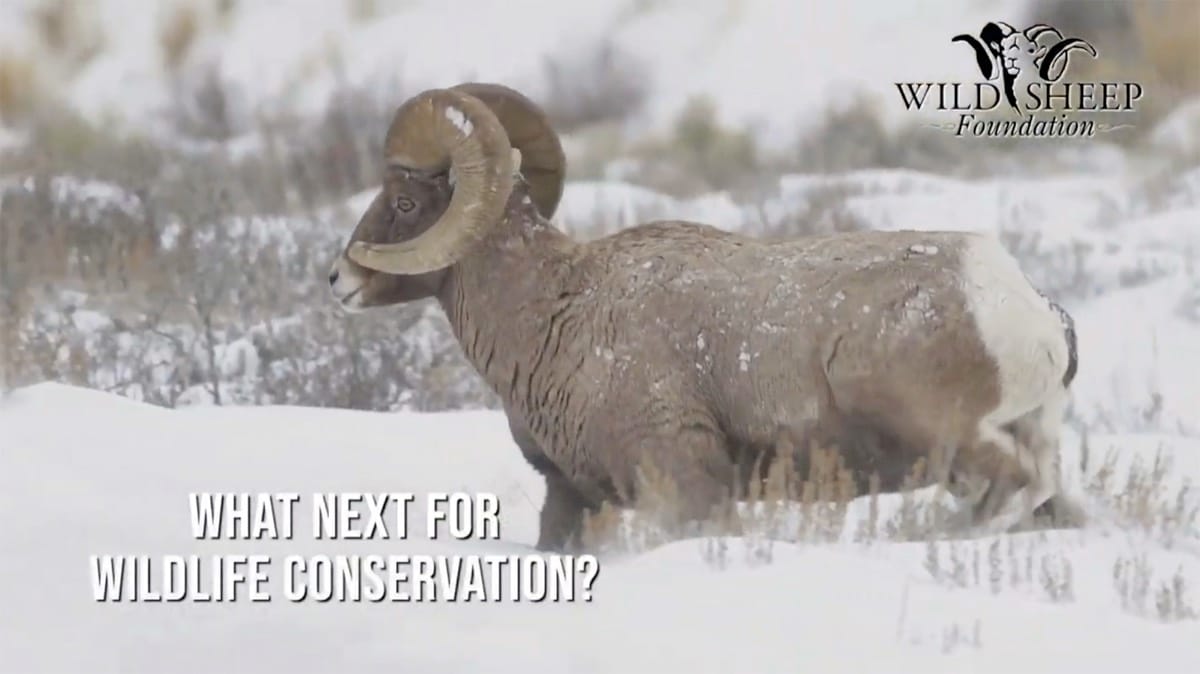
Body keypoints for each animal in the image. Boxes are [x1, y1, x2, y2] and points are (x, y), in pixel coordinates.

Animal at [328, 82, 1082, 551]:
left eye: (403, 203)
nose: (339, 278)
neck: (553, 310)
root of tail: (1024, 308)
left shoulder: (687, 488)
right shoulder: (572, 499)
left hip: (949, 439)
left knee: (1016, 488)